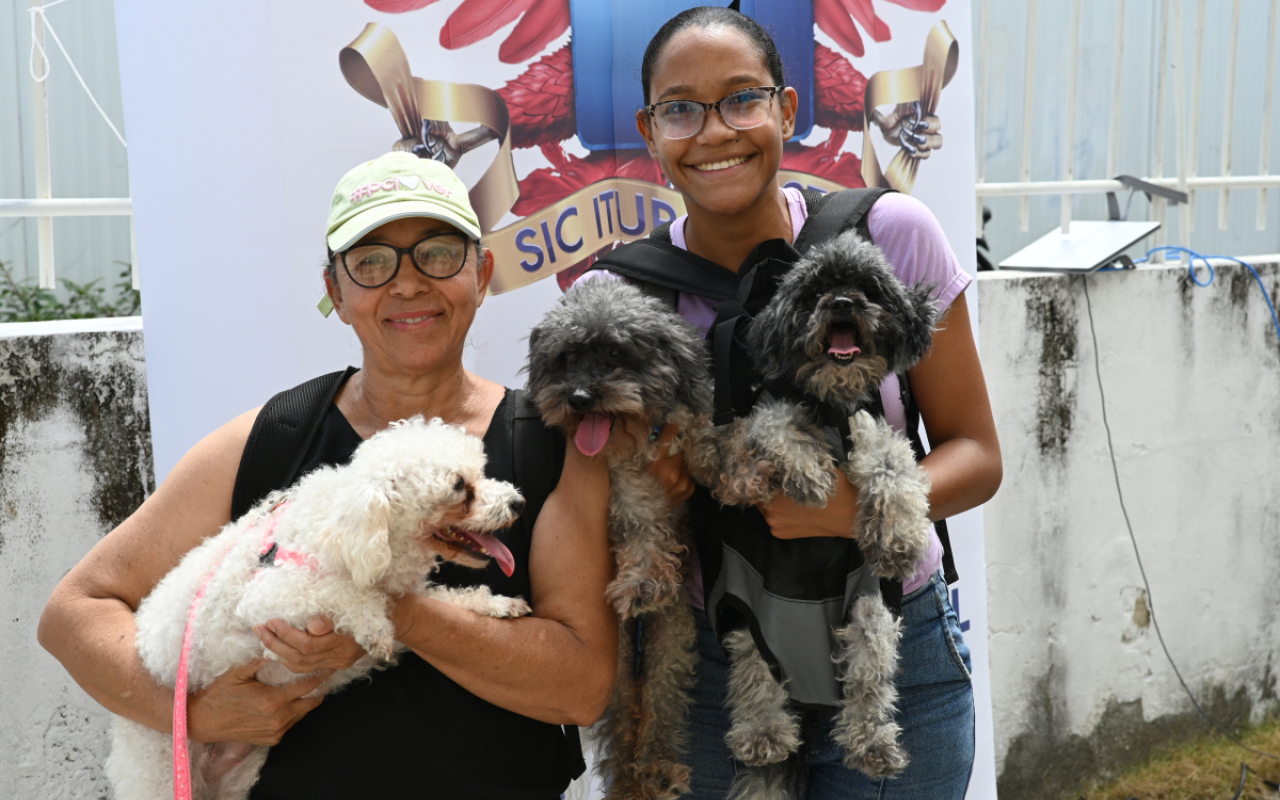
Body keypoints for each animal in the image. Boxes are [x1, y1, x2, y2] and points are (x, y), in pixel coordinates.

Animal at [106, 415, 530, 800]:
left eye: (480, 472)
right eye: (459, 486)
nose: (518, 502)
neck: (344, 531)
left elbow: (443, 600)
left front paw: (495, 604)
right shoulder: (267, 595)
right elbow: (339, 591)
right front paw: (373, 623)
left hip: (232, 781)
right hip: (160, 769)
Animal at [527, 277, 713, 800]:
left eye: (615, 352)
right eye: (567, 356)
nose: (579, 397)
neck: (631, 440)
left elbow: (702, 435)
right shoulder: (627, 498)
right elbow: (644, 536)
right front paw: (644, 582)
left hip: (672, 645)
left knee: (658, 706)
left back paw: (658, 769)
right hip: (613, 669)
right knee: (623, 725)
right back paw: (636, 779)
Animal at [694, 229, 939, 796]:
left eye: (869, 288)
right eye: (813, 295)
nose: (843, 302)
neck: (830, 402)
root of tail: (809, 693)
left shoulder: (872, 429)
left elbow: (892, 467)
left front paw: (897, 537)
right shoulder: (766, 413)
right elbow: (776, 427)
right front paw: (807, 475)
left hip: (870, 614)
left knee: (868, 684)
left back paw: (873, 743)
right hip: (743, 619)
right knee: (754, 682)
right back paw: (763, 735)